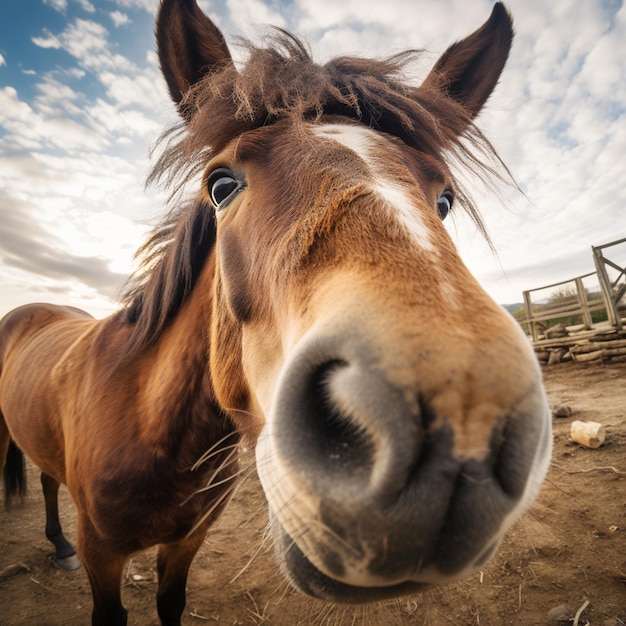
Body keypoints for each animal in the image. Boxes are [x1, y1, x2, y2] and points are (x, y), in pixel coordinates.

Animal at [0, 0, 544, 620]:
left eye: (446, 199)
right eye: (220, 185)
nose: (459, 422)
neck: (150, 426)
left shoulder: (187, 543)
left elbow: (171, 604)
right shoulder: (102, 554)